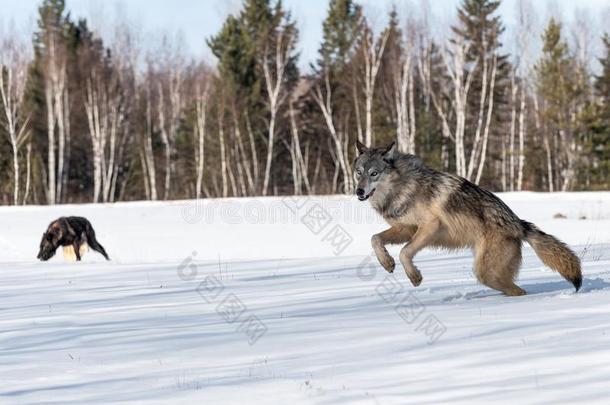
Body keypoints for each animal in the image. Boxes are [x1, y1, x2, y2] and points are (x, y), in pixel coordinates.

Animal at [354, 140, 580, 296]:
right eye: (358, 172)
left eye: (374, 173)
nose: (358, 191)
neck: (401, 188)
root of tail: (519, 224)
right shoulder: (406, 229)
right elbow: (375, 239)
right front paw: (386, 262)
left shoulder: (430, 226)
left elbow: (404, 252)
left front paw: (415, 277)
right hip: (486, 273)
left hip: (484, 270)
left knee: (518, 290)